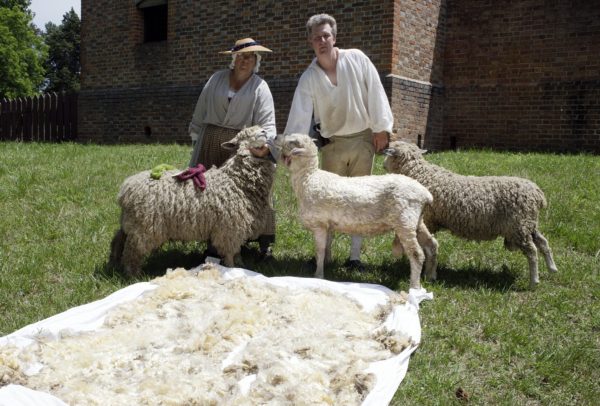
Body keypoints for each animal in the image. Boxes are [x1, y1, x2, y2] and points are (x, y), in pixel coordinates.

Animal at [109, 126, 276, 276]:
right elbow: (230, 253)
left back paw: (114, 264)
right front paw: (232, 268)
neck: (235, 180)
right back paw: (133, 274)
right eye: (246, 135)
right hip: (144, 226)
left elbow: (237, 252)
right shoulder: (229, 228)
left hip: (132, 222)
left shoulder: (236, 228)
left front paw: (241, 265)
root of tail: (126, 189)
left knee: (118, 240)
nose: (264, 131)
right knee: (133, 250)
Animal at [278, 132, 438, 288]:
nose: (276, 138)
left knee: (417, 254)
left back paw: (415, 286)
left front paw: (318, 276)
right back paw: (430, 277)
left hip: (405, 221)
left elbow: (320, 250)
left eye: (292, 141)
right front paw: (325, 265)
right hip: (417, 221)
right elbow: (327, 247)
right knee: (431, 245)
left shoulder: (319, 224)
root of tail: (425, 194)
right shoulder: (328, 224)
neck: (308, 178)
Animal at [384, 141, 556, 288]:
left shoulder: (427, 219)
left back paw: (534, 281)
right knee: (543, 242)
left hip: (519, 226)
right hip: (528, 224)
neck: (420, 173)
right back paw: (552, 268)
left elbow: (426, 246)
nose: (383, 165)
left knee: (532, 251)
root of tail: (537, 194)